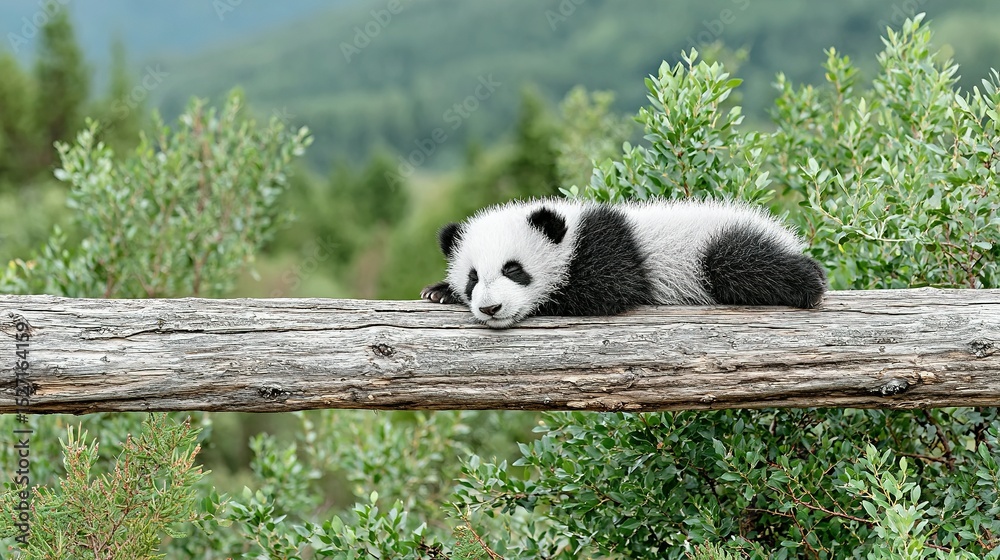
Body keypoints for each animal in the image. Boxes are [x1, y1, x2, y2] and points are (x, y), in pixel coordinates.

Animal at [420, 197, 827, 329]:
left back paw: (809, 281)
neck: (572, 230)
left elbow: (609, 288)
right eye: (473, 278)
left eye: (513, 269)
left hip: (714, 243)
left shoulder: (605, 245)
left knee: (740, 262)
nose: (490, 308)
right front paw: (439, 292)